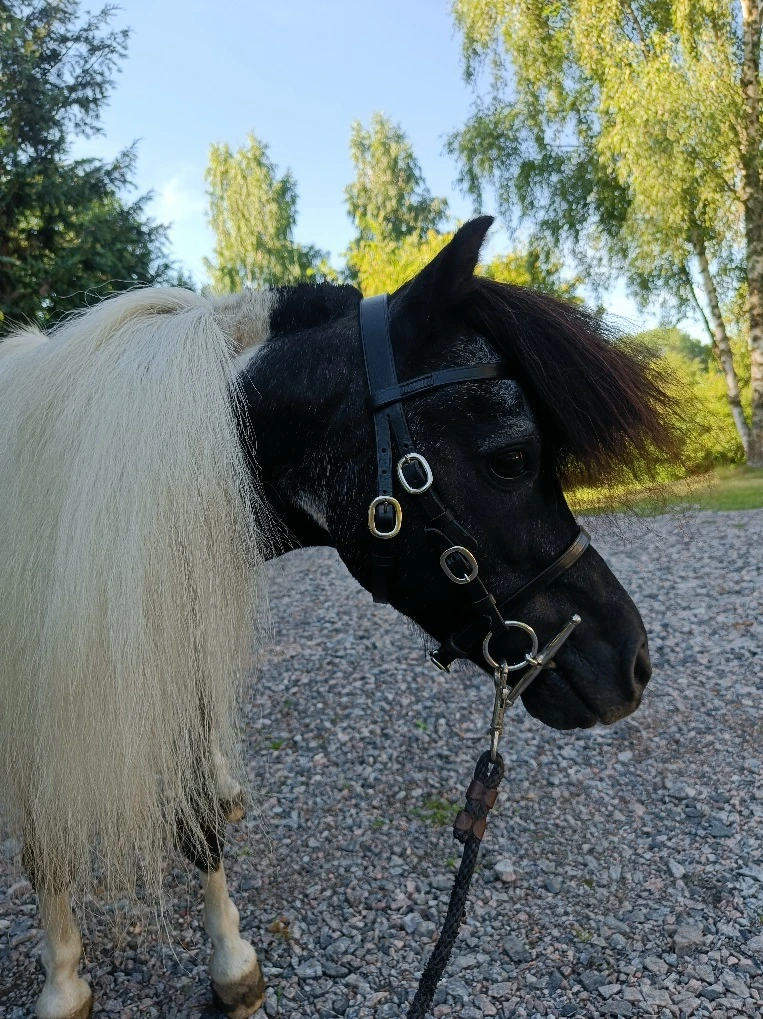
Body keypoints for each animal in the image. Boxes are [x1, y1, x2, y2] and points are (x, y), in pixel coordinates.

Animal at [0, 217, 678, 1019]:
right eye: (513, 458)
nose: (632, 661)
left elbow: (194, 821)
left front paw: (230, 964)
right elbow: (45, 845)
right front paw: (64, 982)